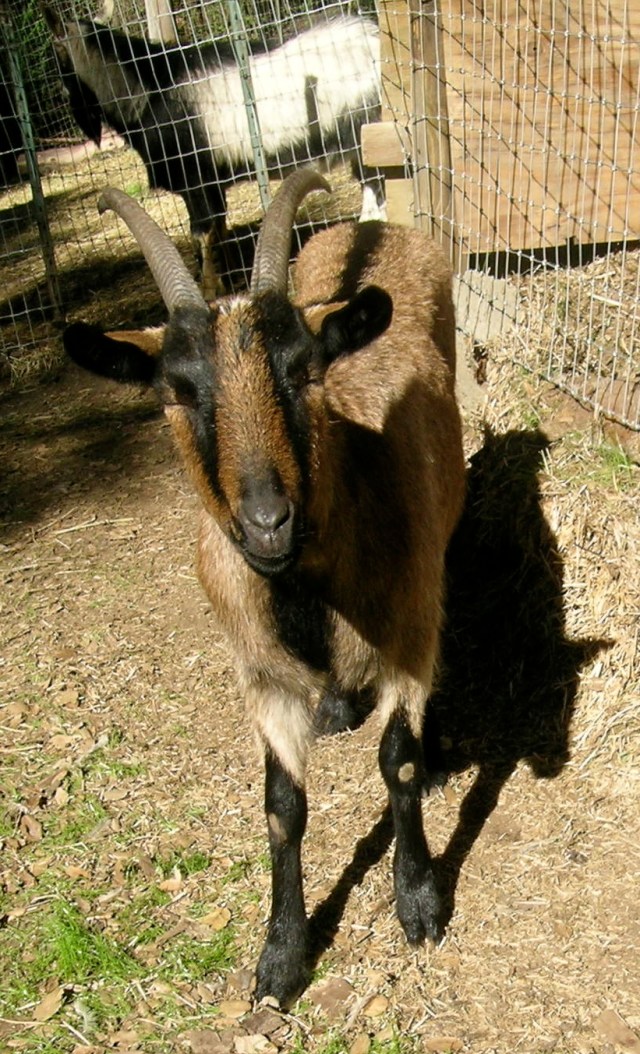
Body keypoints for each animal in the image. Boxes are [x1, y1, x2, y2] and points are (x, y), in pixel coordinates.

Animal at [44, 6, 383, 297]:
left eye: (57, 56)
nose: (59, 92)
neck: (148, 91)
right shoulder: (213, 182)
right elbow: (219, 230)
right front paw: (227, 281)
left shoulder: (195, 180)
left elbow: (202, 234)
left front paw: (209, 290)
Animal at [63, 168, 466, 1008]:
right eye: (178, 391)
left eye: (304, 370)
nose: (267, 523)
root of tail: (368, 225)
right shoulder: (261, 674)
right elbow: (282, 807)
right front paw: (281, 957)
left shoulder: (408, 628)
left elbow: (399, 764)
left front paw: (418, 903)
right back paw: (338, 705)